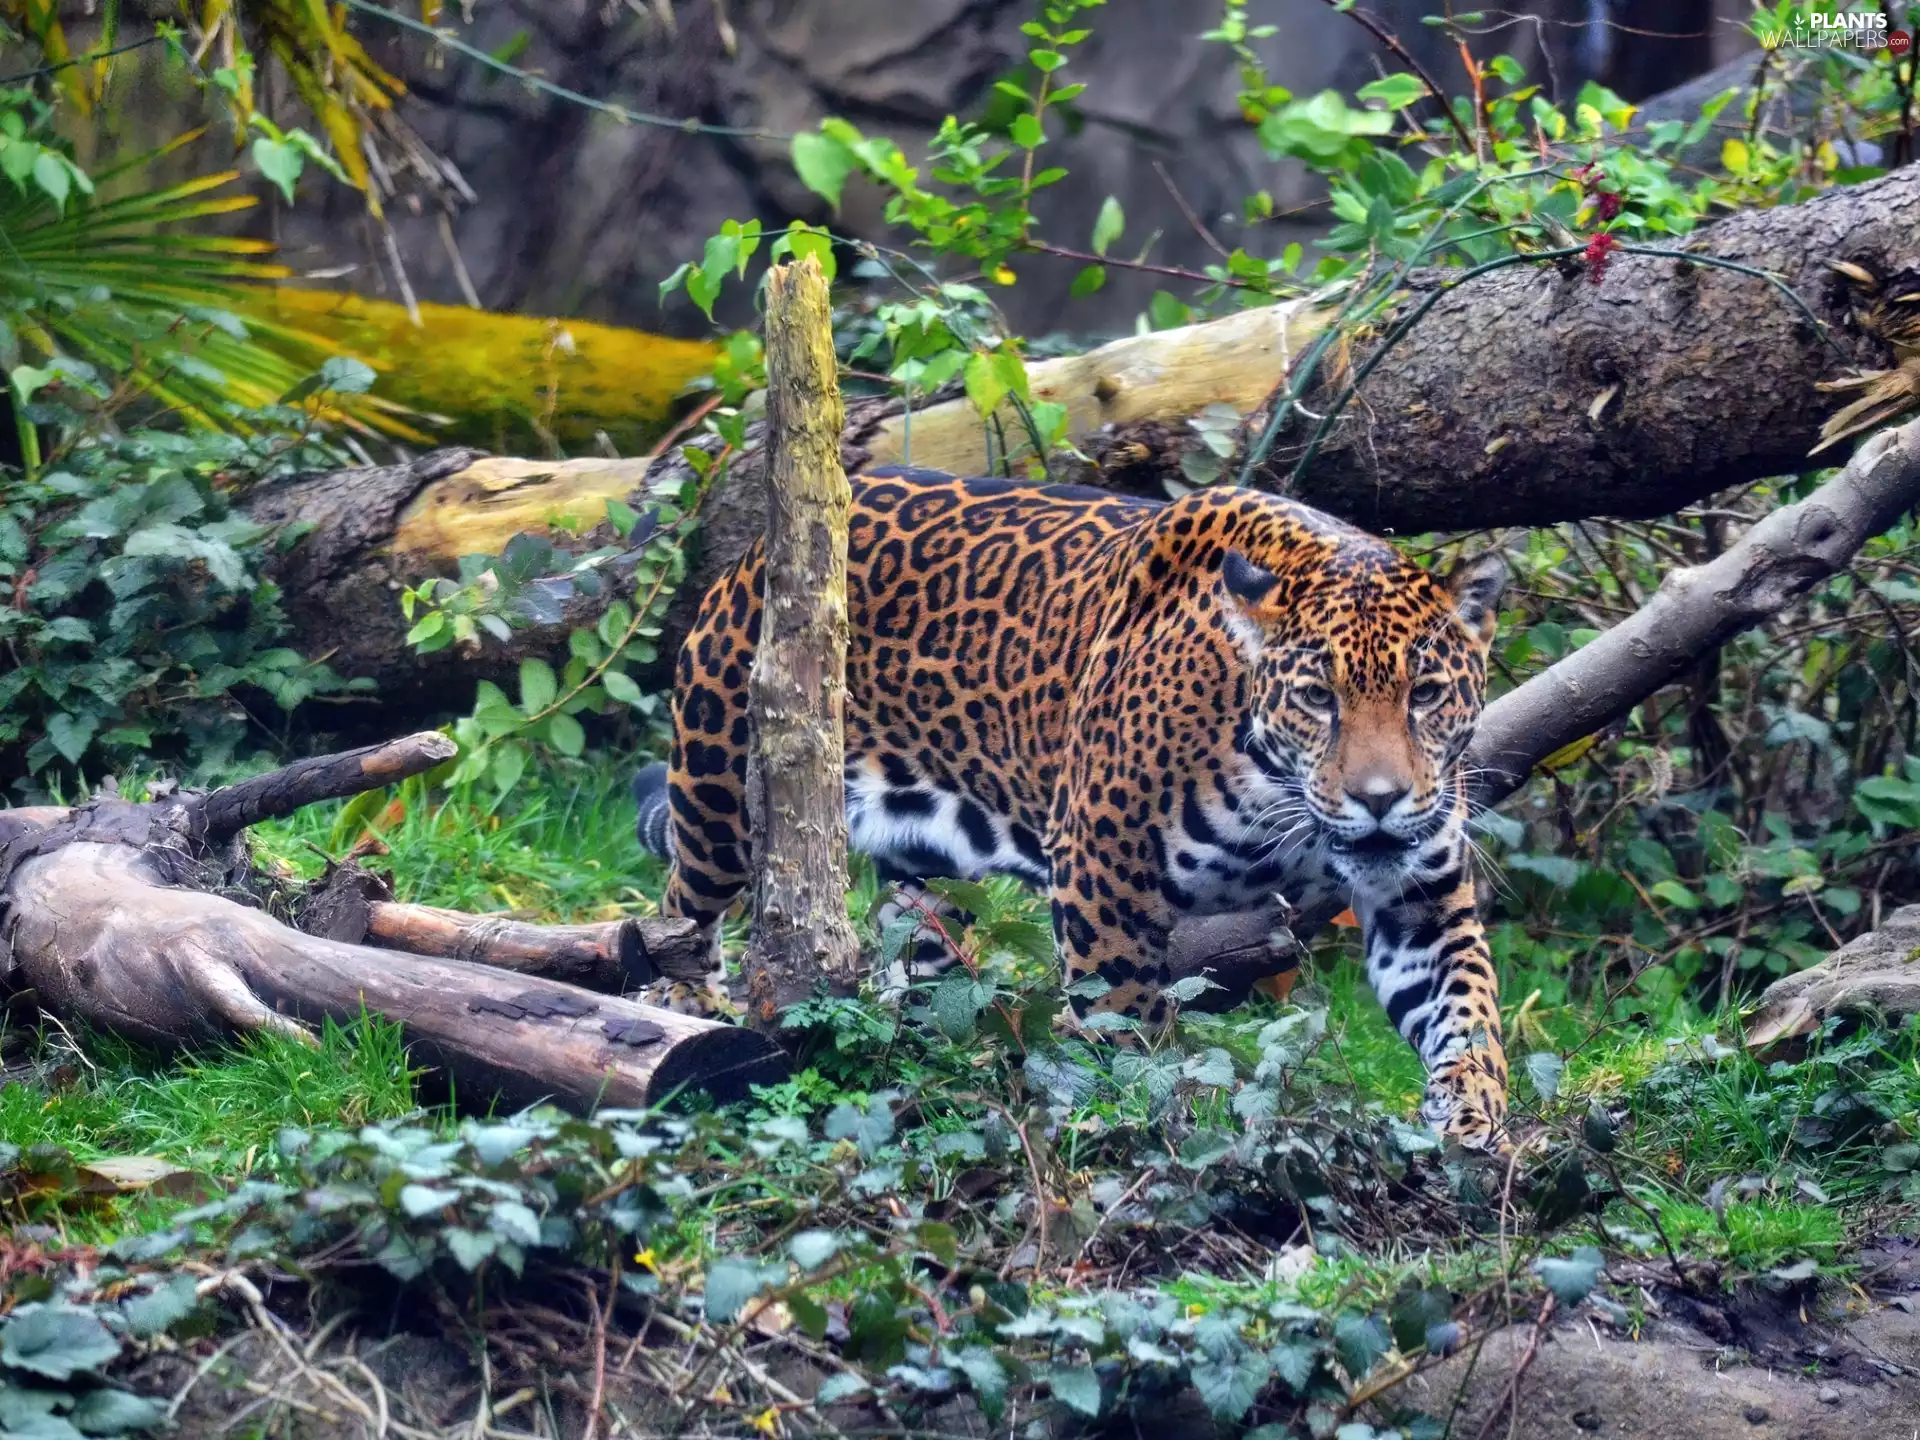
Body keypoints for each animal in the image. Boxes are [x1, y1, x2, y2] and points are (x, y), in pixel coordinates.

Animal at [633, 464, 1511, 1147]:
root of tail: (755, 552)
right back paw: (686, 1013)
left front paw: (1475, 1117)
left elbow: (1468, 1007)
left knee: (921, 957)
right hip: (719, 791)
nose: (1378, 800)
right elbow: (1123, 1021)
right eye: (1318, 699)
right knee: (683, 914)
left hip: (924, 875)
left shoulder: (1421, 900)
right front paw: (1147, 1122)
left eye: (1427, 694)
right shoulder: (1103, 871)